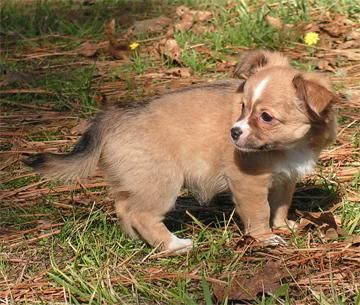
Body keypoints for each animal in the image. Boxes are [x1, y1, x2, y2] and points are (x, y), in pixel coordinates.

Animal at [24, 50, 338, 252]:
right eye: (243, 108)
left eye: (266, 117)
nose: (234, 132)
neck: (289, 147)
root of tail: (112, 117)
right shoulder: (249, 182)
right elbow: (259, 212)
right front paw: (265, 238)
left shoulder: (285, 179)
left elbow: (280, 206)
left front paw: (284, 227)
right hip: (162, 183)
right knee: (143, 215)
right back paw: (175, 245)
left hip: (137, 181)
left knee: (124, 208)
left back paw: (138, 241)